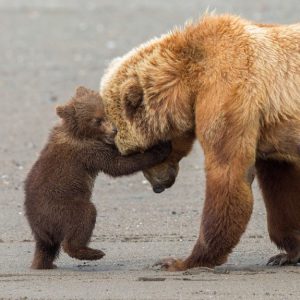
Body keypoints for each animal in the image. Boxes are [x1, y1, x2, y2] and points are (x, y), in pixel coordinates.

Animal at [99, 14, 300, 270]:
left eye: (136, 152)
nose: (157, 186)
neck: (189, 82)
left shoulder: (227, 93)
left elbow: (228, 173)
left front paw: (180, 261)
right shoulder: (269, 129)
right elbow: (281, 187)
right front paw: (287, 253)